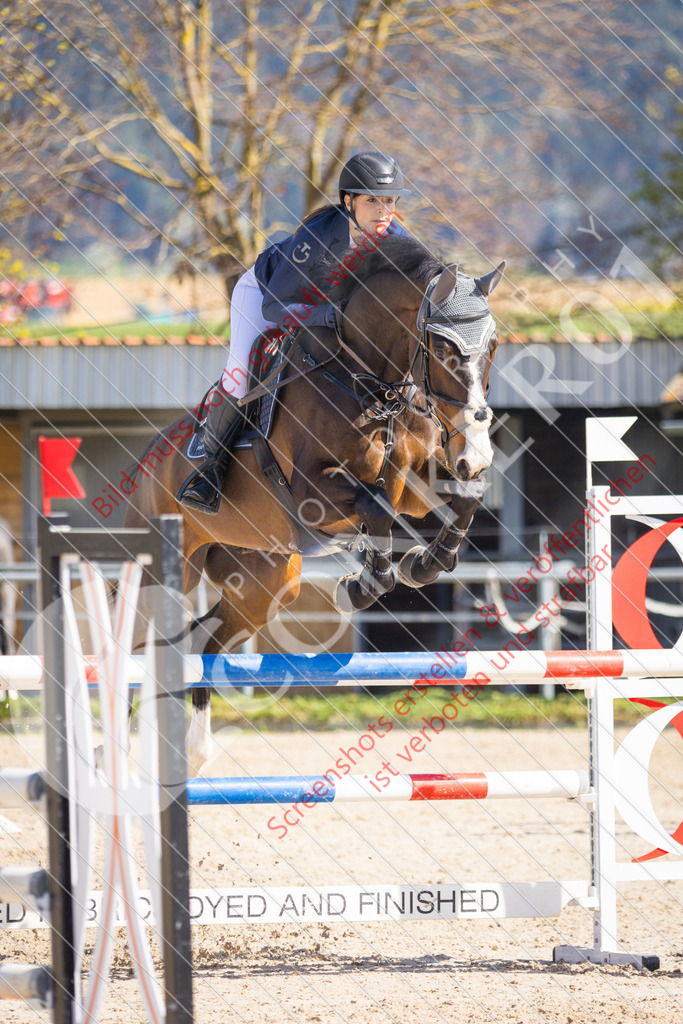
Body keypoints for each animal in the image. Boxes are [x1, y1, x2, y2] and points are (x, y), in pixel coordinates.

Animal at [125, 237, 505, 770]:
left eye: (492, 346)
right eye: (445, 348)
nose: (476, 454)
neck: (372, 384)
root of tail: (145, 464)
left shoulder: (412, 485)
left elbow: (464, 498)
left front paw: (423, 564)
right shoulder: (315, 492)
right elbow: (376, 509)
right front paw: (365, 586)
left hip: (265, 583)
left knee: (202, 641)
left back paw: (195, 752)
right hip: (165, 570)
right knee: (135, 648)